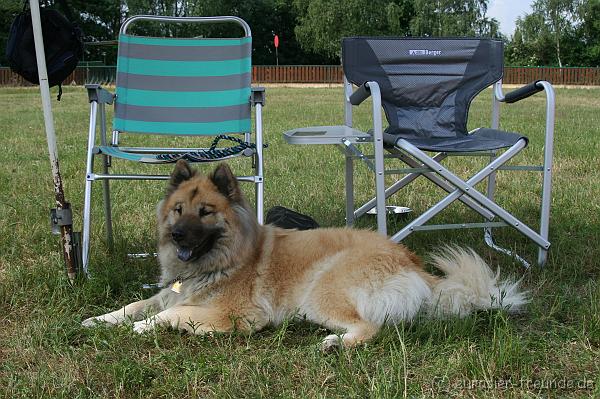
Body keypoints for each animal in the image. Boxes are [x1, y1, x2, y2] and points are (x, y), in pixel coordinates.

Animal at [83, 160, 524, 350]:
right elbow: (136, 304)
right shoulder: (171, 292)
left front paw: (142, 329)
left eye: (205, 212)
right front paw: (98, 320)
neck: (226, 259)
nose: (176, 235)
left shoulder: (237, 316)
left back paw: (334, 344)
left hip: (320, 293)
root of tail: (410, 261)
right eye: (178, 209)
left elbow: (169, 315)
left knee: (371, 327)